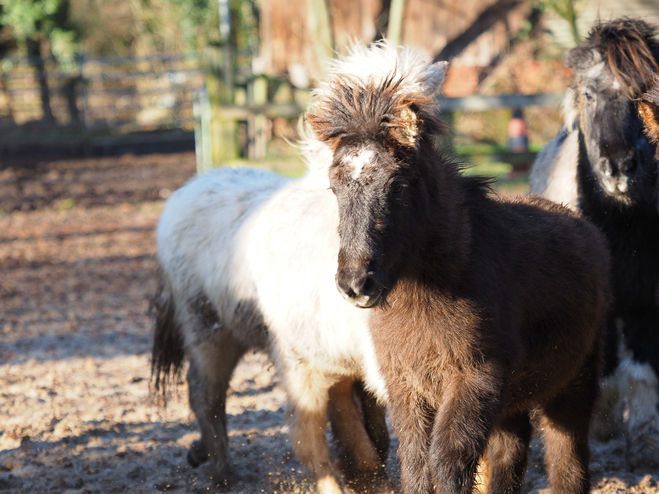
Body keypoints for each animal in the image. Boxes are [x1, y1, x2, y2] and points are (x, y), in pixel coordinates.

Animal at [151, 42, 448, 494]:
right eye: (336, 184)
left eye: (404, 177)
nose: (357, 283)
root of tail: (183, 195)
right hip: (212, 335)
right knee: (209, 397)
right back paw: (221, 470)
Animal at [310, 74, 612, 494]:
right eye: (334, 188)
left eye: (398, 185)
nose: (355, 283)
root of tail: (586, 227)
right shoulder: (406, 385)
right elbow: (416, 466)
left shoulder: (474, 379)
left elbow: (447, 462)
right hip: (513, 401)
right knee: (510, 456)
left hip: (573, 383)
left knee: (568, 460)